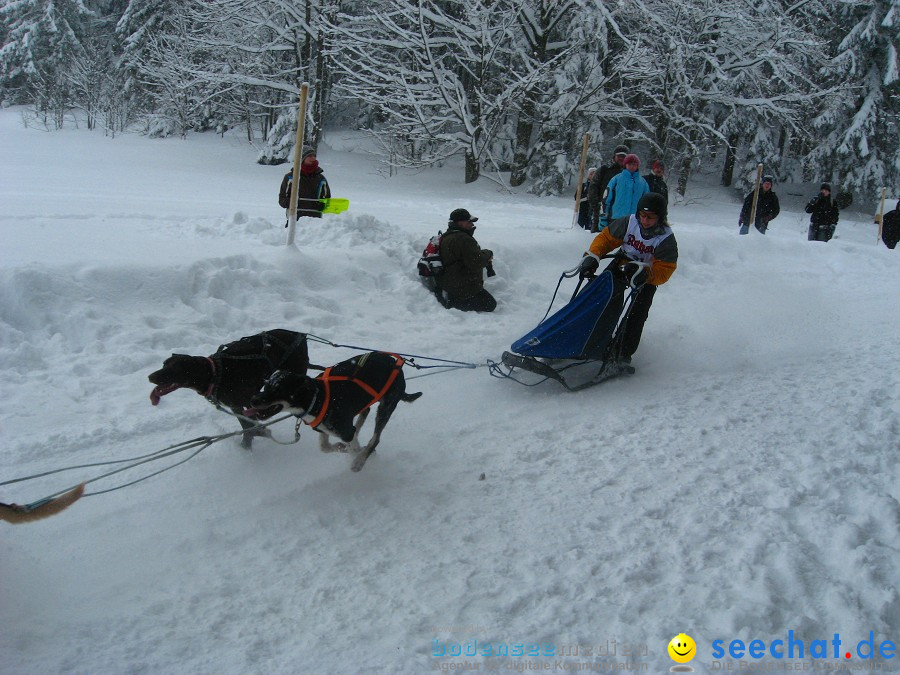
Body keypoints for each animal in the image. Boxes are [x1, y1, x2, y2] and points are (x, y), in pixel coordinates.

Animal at [149, 328, 312, 446]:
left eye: (172, 369)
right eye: (164, 364)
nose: (149, 377)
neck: (213, 373)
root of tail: (300, 335)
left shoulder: (244, 404)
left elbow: (250, 428)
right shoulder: (239, 407)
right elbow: (249, 426)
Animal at [246, 352, 422, 472]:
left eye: (278, 389)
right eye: (265, 385)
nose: (252, 399)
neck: (318, 397)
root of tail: (397, 363)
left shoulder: (345, 430)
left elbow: (352, 446)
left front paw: (357, 454)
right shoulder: (325, 429)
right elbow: (324, 446)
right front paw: (341, 446)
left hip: (385, 407)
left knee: (375, 438)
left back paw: (360, 460)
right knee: (364, 414)